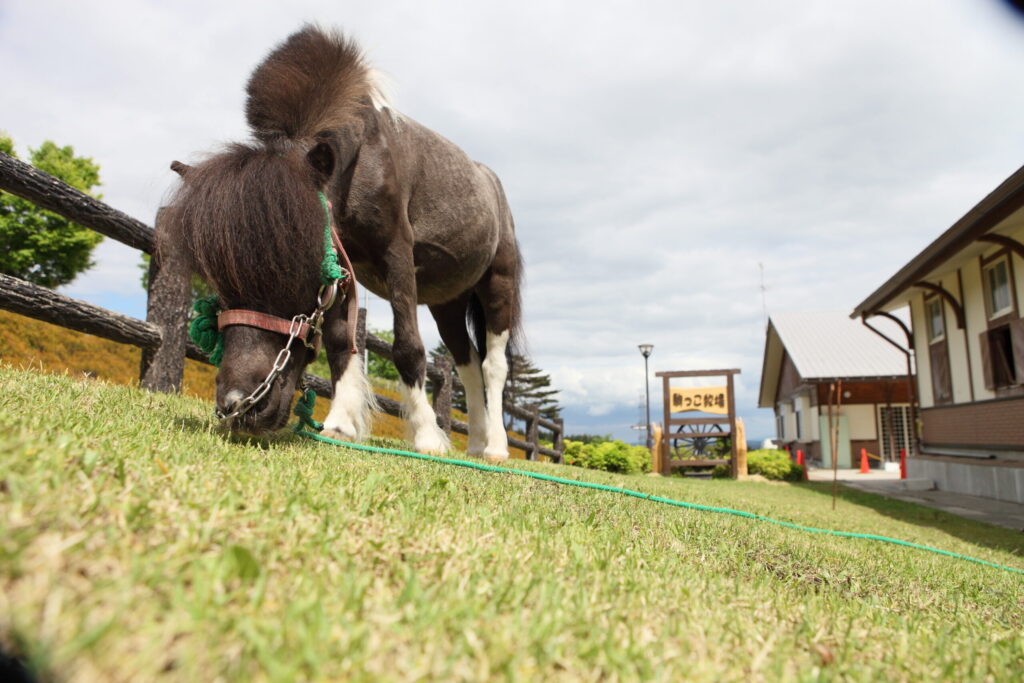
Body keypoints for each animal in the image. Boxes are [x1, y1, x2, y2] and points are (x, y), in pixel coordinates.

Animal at [157, 26, 523, 462]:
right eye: (219, 281)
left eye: (295, 268)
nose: (238, 406)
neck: (363, 158)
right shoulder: (341, 261)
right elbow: (338, 341)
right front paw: (341, 423)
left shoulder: (396, 252)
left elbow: (407, 347)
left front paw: (426, 437)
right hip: (448, 301)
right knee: (467, 365)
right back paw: (476, 442)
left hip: (498, 282)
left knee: (492, 367)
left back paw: (496, 446)